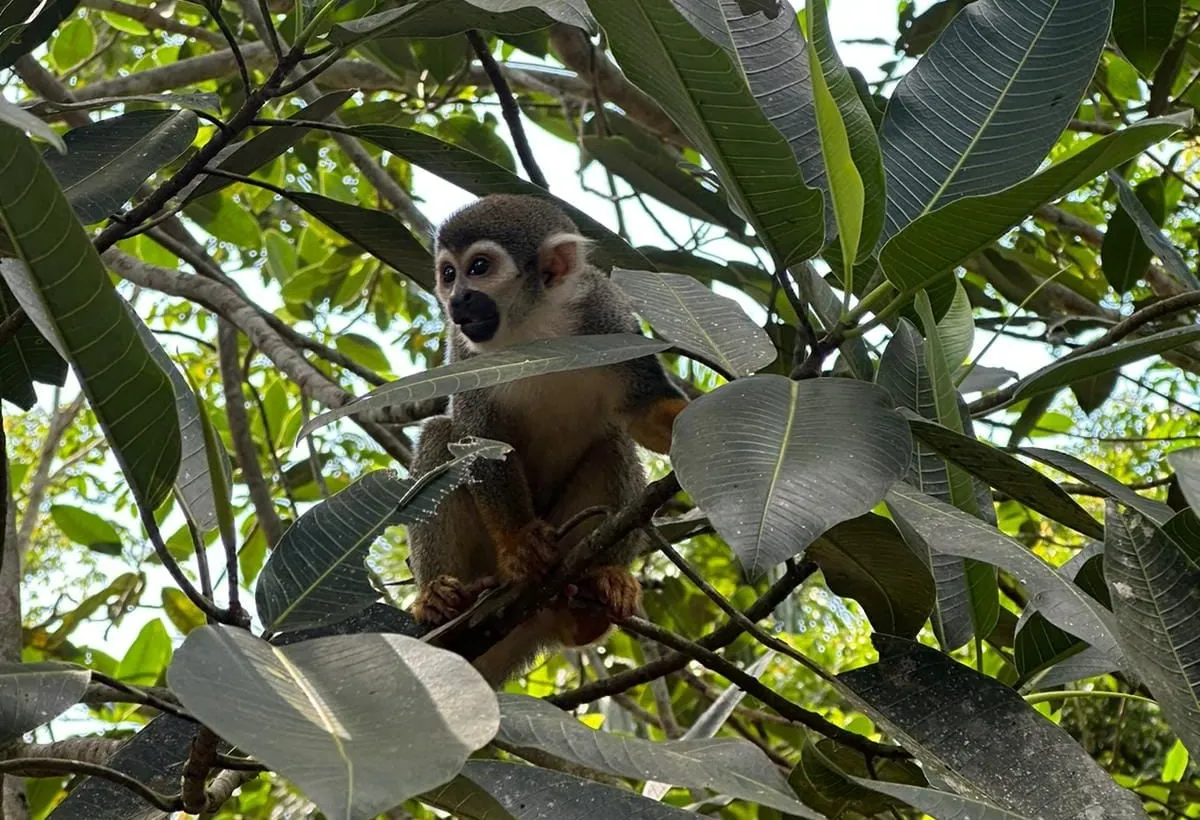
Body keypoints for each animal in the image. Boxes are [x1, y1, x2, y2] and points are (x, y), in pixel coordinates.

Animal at [405, 193, 688, 686]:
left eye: (479, 267)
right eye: (448, 273)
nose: (456, 300)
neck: (534, 330)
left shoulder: (607, 316)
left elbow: (644, 414)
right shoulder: (462, 347)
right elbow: (480, 441)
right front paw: (520, 542)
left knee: (612, 443)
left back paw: (592, 597)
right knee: (443, 436)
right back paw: (440, 597)